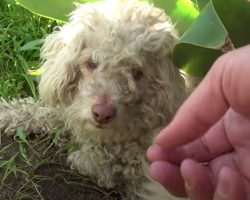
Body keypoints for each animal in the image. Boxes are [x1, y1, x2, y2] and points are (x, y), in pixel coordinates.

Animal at [0, 0, 188, 199]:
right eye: (92, 63)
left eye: (137, 73)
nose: (102, 114)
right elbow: (46, 112)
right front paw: (7, 113)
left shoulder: (115, 165)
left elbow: (82, 157)